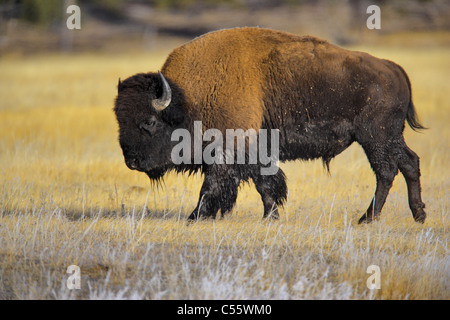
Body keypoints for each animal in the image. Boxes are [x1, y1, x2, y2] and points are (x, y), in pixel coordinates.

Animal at [114, 26, 428, 224]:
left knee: (386, 171)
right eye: (119, 119)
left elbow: (213, 186)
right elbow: (266, 183)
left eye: (149, 121)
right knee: (409, 162)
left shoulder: (228, 150)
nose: (131, 161)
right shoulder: (256, 149)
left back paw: (368, 218)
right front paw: (270, 217)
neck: (187, 99)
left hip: (375, 138)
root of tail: (393, 68)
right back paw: (418, 214)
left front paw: (195, 216)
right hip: (389, 137)